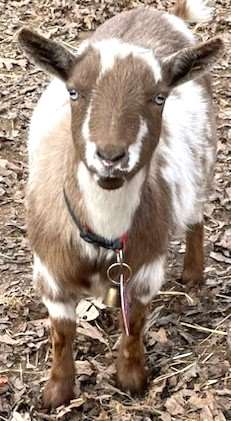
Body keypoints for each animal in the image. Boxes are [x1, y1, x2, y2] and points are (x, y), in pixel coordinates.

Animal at [19, 0, 223, 406]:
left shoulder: (145, 270)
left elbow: (135, 325)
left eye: (159, 96)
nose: (111, 156)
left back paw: (193, 275)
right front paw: (56, 393)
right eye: (74, 92)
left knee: (196, 216)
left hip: (204, 160)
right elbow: (62, 334)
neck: (102, 237)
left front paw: (131, 379)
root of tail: (163, 14)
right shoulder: (49, 273)